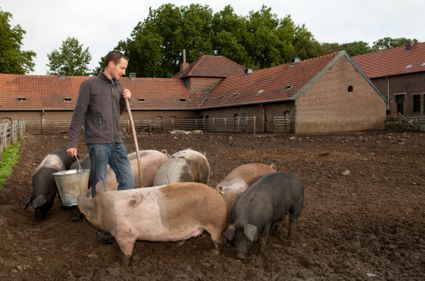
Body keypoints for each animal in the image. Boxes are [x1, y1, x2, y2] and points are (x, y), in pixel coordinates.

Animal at [77, 182, 227, 262]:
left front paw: (123, 259)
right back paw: (179, 244)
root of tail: (220, 197)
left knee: (220, 241)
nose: (78, 200)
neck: (104, 211)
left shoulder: (125, 233)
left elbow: (127, 251)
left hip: (215, 224)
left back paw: (212, 254)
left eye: (89, 211)